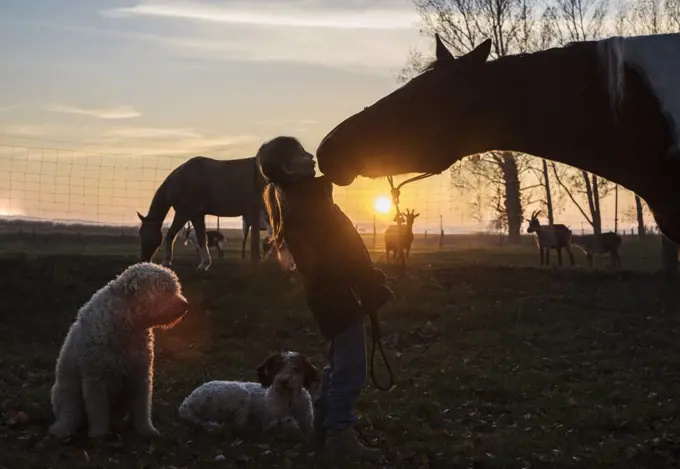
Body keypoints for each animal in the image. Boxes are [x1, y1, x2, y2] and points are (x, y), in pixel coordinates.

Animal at [48, 262, 189, 436]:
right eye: (165, 289)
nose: (186, 305)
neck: (125, 322)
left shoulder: (140, 375)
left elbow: (142, 408)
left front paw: (146, 430)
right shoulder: (95, 380)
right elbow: (98, 412)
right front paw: (98, 434)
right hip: (67, 394)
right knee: (70, 414)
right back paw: (61, 429)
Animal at [177, 352, 318, 436]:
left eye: (296, 368)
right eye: (277, 367)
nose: (283, 381)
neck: (289, 400)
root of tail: (187, 402)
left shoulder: (309, 424)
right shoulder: (269, 421)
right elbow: (285, 424)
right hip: (241, 393)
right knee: (237, 425)